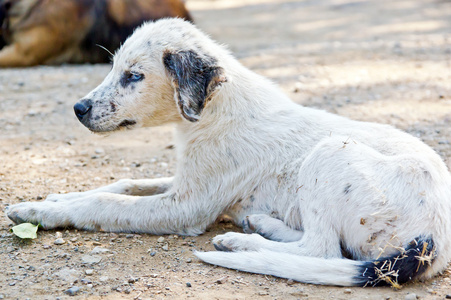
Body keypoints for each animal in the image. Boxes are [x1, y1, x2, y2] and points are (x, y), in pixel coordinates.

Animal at [7, 17, 451, 288]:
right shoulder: (183, 180)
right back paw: (260, 224)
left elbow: (105, 203)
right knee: (327, 248)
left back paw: (243, 243)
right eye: (114, 68)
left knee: (321, 249)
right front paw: (58, 197)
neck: (210, 111)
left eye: (133, 76)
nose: (78, 109)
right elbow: (124, 183)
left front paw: (38, 210)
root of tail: (433, 241)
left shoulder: (188, 206)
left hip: (329, 153)